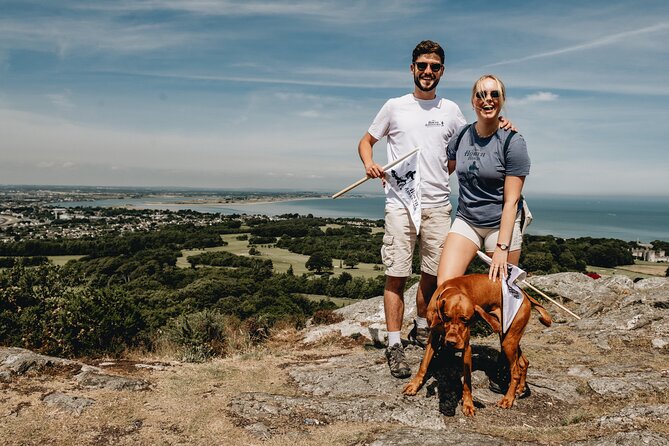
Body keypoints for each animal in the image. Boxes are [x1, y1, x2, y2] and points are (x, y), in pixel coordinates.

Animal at [402, 274, 548, 416]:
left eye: (465, 320)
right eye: (447, 317)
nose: (451, 342)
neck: (452, 287)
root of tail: (524, 294)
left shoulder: (466, 348)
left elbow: (467, 381)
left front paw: (468, 404)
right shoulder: (433, 337)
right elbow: (424, 364)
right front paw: (414, 385)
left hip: (509, 340)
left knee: (515, 371)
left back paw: (508, 399)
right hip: (507, 337)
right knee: (524, 361)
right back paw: (520, 388)